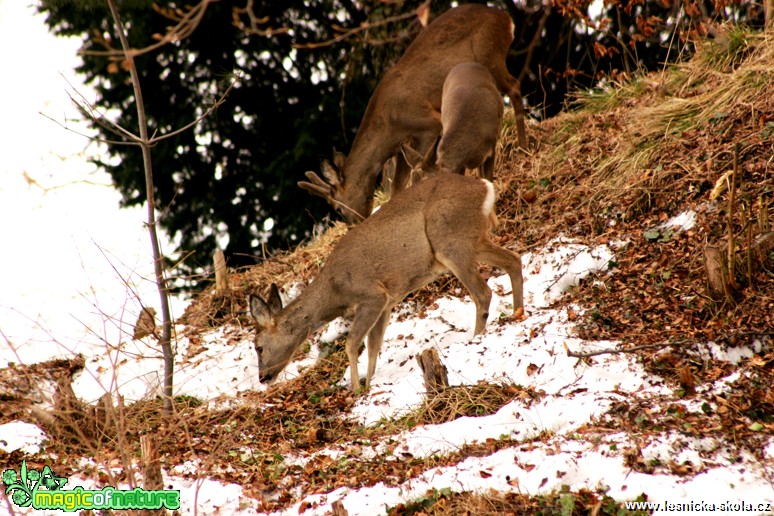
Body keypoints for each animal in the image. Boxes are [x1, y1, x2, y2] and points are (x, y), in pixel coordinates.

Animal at [252, 173, 524, 392]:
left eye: (258, 347)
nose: (262, 377)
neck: (334, 291)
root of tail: (485, 186)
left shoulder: (372, 296)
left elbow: (352, 343)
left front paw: (356, 390)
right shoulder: (386, 302)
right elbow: (374, 346)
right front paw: (369, 383)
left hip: (451, 241)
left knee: (483, 292)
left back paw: (475, 338)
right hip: (473, 241)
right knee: (513, 259)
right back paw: (518, 313)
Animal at [298, 2, 528, 224]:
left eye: (337, 208)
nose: (353, 224)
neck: (388, 125)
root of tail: (505, 18)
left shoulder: (428, 123)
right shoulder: (402, 146)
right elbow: (397, 186)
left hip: (490, 55)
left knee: (515, 86)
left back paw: (524, 147)